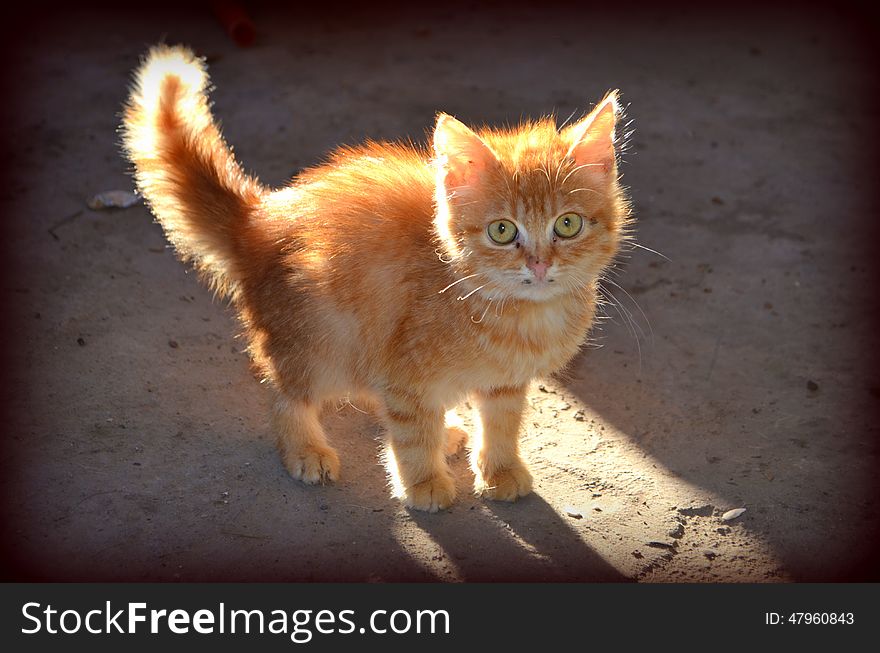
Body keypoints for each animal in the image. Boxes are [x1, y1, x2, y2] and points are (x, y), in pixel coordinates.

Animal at [122, 47, 632, 516]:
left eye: (567, 224)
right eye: (503, 231)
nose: (540, 265)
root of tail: (258, 220)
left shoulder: (503, 383)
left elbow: (502, 424)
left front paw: (500, 469)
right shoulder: (405, 372)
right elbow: (410, 431)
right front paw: (423, 481)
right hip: (321, 340)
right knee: (286, 396)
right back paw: (306, 448)